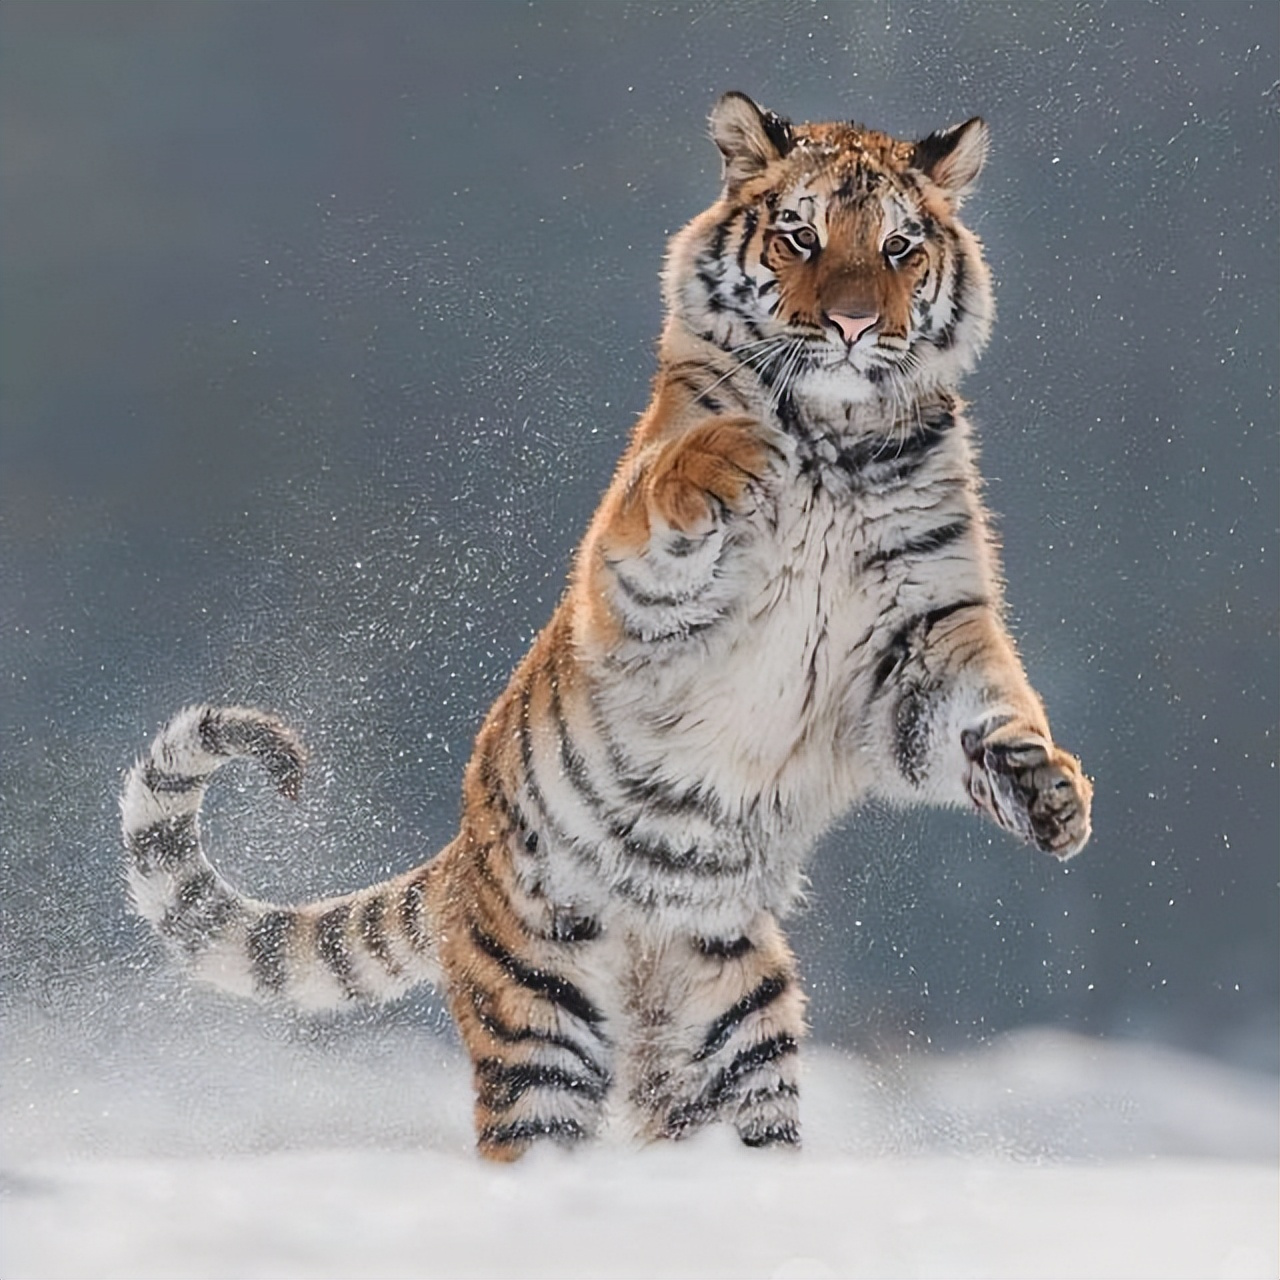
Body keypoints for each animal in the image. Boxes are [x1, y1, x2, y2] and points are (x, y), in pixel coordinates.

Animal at [120, 93, 1092, 1162]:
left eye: (899, 246)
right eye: (800, 235)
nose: (851, 323)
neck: (838, 439)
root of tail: (461, 856)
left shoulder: (919, 638)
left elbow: (984, 715)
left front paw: (1049, 791)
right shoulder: (635, 593)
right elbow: (666, 490)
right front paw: (734, 451)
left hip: (738, 1035)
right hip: (539, 1015)